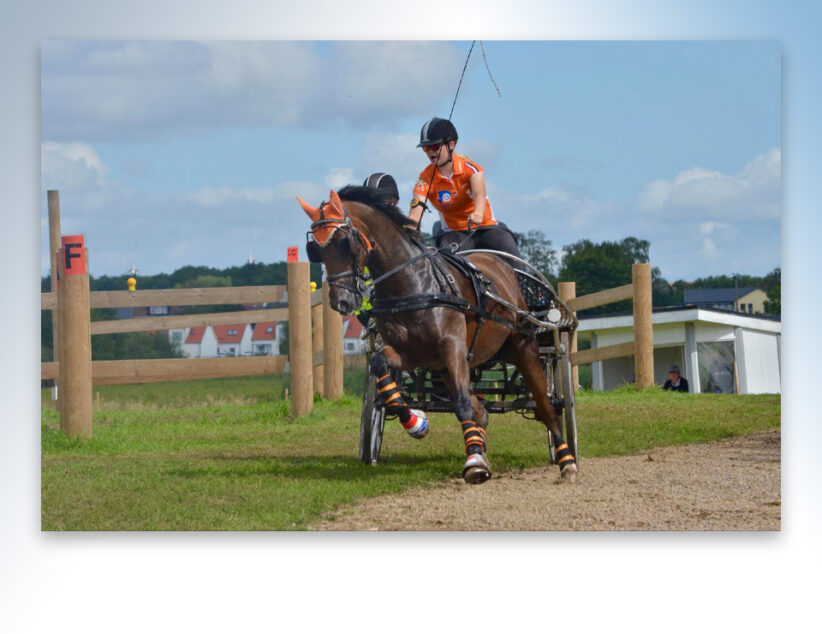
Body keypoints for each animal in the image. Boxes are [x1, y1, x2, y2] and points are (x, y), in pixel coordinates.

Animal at [298, 185, 580, 482]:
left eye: (343, 242)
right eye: (315, 249)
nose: (341, 302)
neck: (414, 285)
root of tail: (500, 264)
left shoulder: (453, 348)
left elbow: (463, 404)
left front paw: (474, 462)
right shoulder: (413, 355)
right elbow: (381, 370)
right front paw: (416, 422)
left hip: (522, 347)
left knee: (546, 405)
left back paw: (566, 460)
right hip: (450, 365)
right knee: (480, 408)